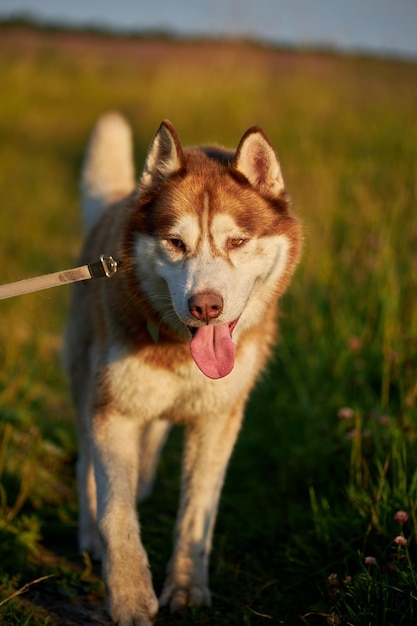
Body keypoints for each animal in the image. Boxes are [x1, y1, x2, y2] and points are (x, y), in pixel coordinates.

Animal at [63, 113, 300, 624]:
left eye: (237, 241)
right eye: (175, 242)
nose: (206, 306)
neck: (180, 353)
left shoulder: (218, 420)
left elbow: (197, 511)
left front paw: (188, 588)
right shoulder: (113, 412)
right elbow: (117, 514)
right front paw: (130, 598)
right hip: (85, 379)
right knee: (87, 464)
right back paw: (90, 534)